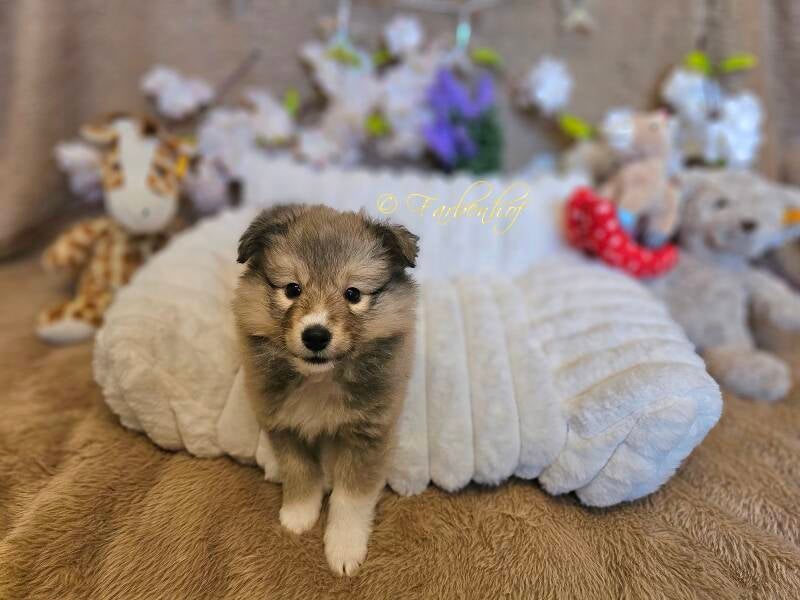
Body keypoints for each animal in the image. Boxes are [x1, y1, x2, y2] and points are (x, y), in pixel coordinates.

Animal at [233, 204, 418, 575]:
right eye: (292, 289)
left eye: (353, 294)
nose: (316, 336)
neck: (320, 380)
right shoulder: (283, 424)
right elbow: (300, 471)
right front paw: (299, 514)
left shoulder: (367, 435)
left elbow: (351, 497)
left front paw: (344, 548)